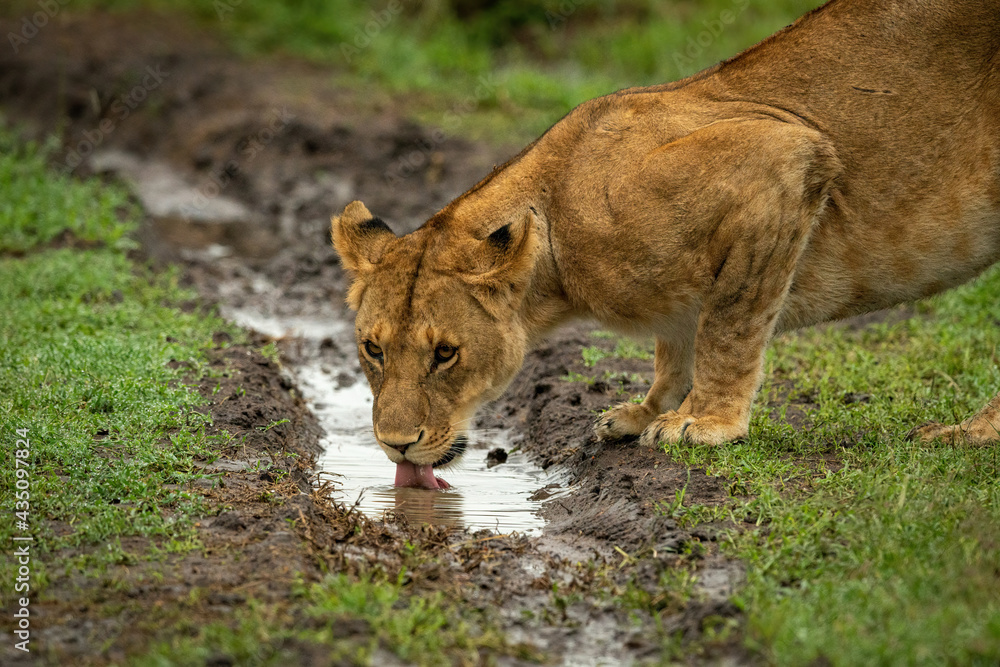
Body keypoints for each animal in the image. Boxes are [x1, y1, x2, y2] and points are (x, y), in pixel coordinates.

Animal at [333, 0, 1000, 488]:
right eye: (373, 349)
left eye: (446, 354)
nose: (396, 446)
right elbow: (676, 347)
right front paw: (646, 412)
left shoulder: (783, 160)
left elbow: (729, 327)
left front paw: (706, 422)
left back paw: (972, 433)